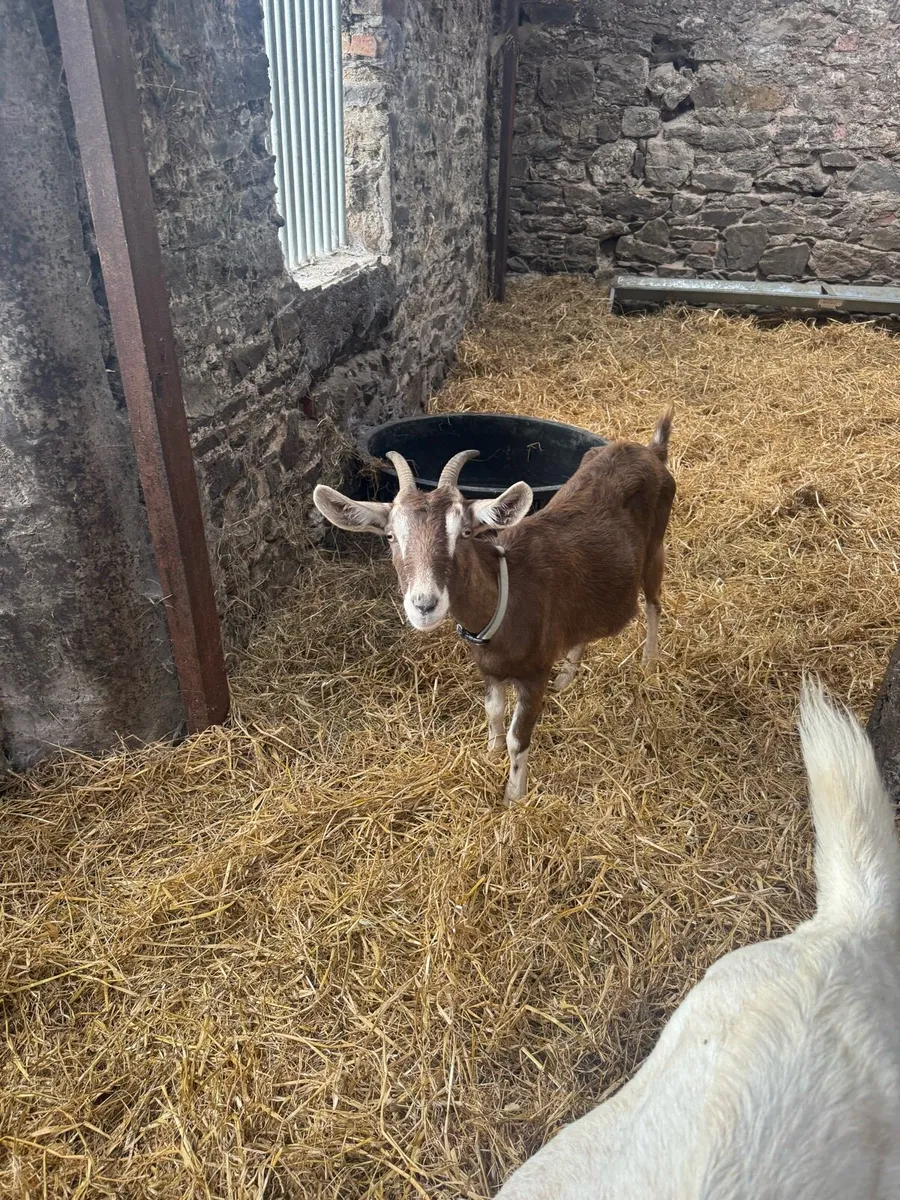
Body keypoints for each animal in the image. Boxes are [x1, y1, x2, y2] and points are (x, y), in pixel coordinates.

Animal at [313, 410, 675, 801]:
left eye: (465, 533)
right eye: (392, 536)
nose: (424, 604)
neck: (506, 594)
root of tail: (651, 450)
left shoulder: (534, 674)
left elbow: (519, 737)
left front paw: (514, 795)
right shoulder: (489, 668)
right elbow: (493, 711)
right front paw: (490, 752)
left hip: (655, 549)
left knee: (654, 604)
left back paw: (649, 662)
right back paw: (567, 675)